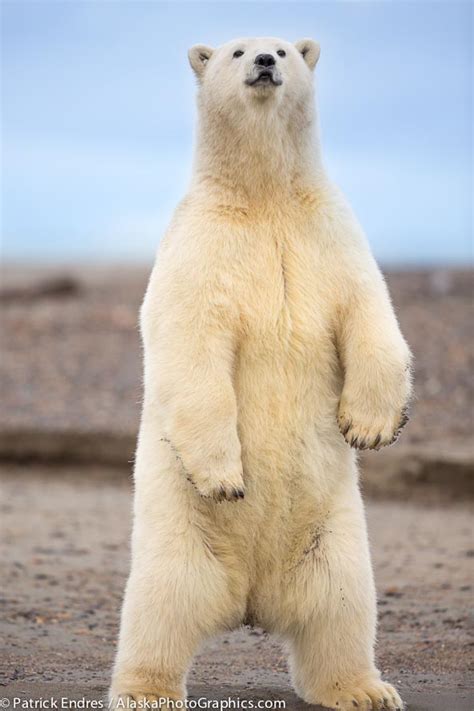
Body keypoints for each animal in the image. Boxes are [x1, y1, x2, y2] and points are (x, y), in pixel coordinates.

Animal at [110, 37, 412, 711]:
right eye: (235, 51)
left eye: (282, 48)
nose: (266, 64)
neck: (265, 197)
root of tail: (250, 602)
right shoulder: (201, 248)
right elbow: (193, 347)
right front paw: (226, 478)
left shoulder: (331, 234)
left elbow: (370, 312)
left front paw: (371, 427)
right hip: (179, 534)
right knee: (160, 607)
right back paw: (146, 690)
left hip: (333, 537)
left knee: (341, 608)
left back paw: (365, 689)